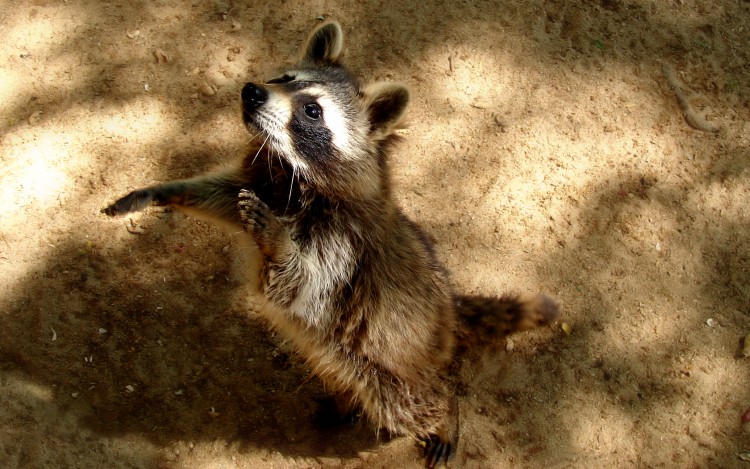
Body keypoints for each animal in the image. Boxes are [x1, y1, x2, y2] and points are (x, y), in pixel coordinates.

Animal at [104, 21, 560, 464]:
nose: (252, 91)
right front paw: (164, 191)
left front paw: (279, 243)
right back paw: (345, 402)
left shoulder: (342, 247)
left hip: (392, 365)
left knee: (411, 402)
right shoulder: (261, 180)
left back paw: (445, 414)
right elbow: (221, 196)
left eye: (312, 110)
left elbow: (298, 284)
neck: (291, 173)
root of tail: (449, 309)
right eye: (284, 78)